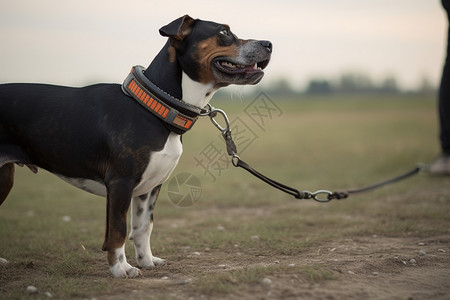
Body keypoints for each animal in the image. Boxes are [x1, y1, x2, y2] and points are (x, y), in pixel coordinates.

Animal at [0, 15, 270, 278]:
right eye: (223, 32)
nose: (268, 43)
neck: (155, 108)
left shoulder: (150, 186)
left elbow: (143, 227)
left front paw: (146, 261)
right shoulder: (121, 182)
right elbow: (118, 230)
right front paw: (120, 269)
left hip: (5, 177)